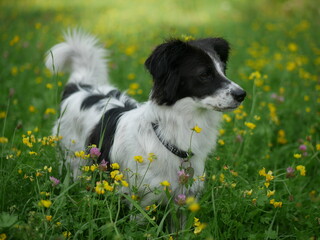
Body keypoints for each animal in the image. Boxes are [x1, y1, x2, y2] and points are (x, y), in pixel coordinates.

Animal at [45, 30, 245, 206]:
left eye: (223, 71)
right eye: (204, 74)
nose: (242, 94)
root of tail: (80, 86)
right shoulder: (140, 200)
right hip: (75, 161)